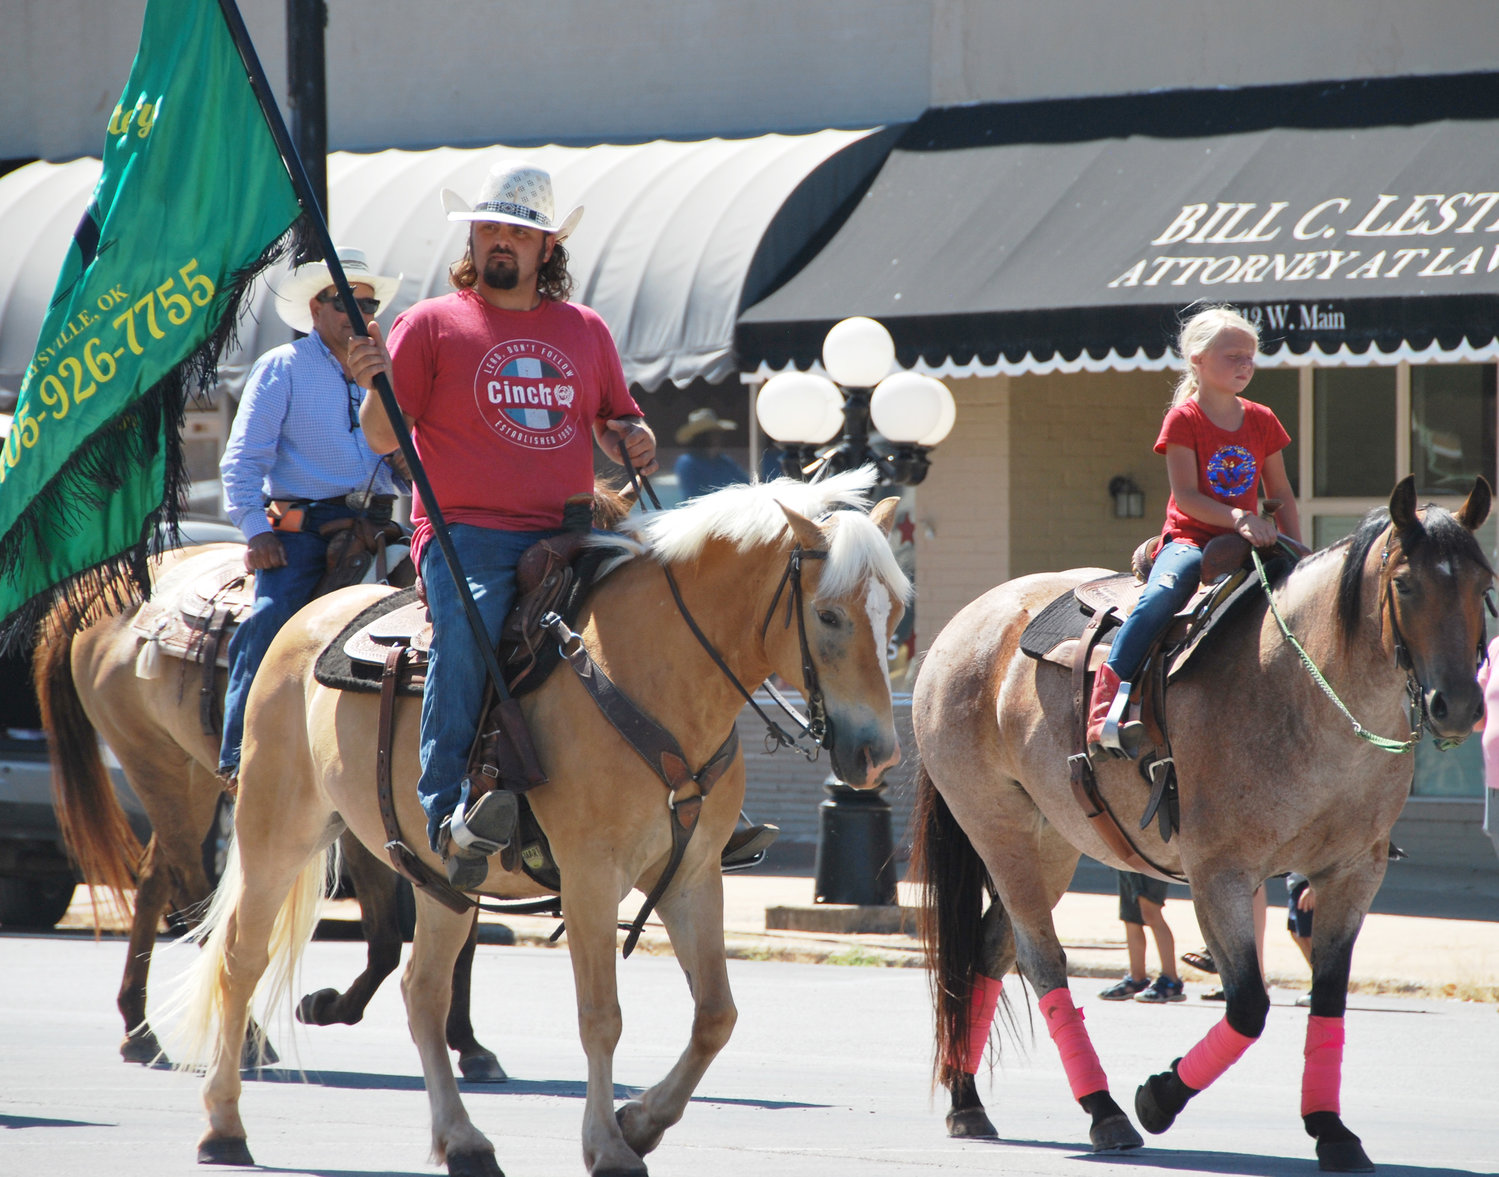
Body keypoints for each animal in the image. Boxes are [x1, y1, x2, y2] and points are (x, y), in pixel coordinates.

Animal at [33, 542, 503, 1073]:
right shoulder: (370, 823)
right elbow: (387, 940)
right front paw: (330, 1007)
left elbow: (460, 938)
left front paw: (469, 1044)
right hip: (153, 761)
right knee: (195, 889)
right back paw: (247, 1036)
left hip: (190, 776)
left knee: (157, 876)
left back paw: (140, 1029)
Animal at [165, 467, 911, 1175]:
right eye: (828, 616)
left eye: (897, 613)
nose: (877, 754)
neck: (654, 674)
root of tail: (306, 617)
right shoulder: (590, 876)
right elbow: (601, 1016)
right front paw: (608, 1145)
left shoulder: (691, 873)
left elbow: (716, 1015)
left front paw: (641, 1121)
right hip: (276, 829)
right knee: (241, 960)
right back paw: (224, 1123)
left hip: (438, 878)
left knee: (423, 991)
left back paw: (463, 1141)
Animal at [905, 473, 1493, 1163]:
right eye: (1405, 583)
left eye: (1483, 583)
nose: (1458, 706)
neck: (1304, 691)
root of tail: (964, 626)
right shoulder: (1220, 875)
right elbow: (1247, 1008)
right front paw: (1158, 1098)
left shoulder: (1352, 873)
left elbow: (1327, 999)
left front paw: (1331, 1129)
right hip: (1000, 833)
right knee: (1041, 959)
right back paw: (1104, 1110)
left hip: (1050, 842)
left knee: (991, 951)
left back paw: (969, 1100)